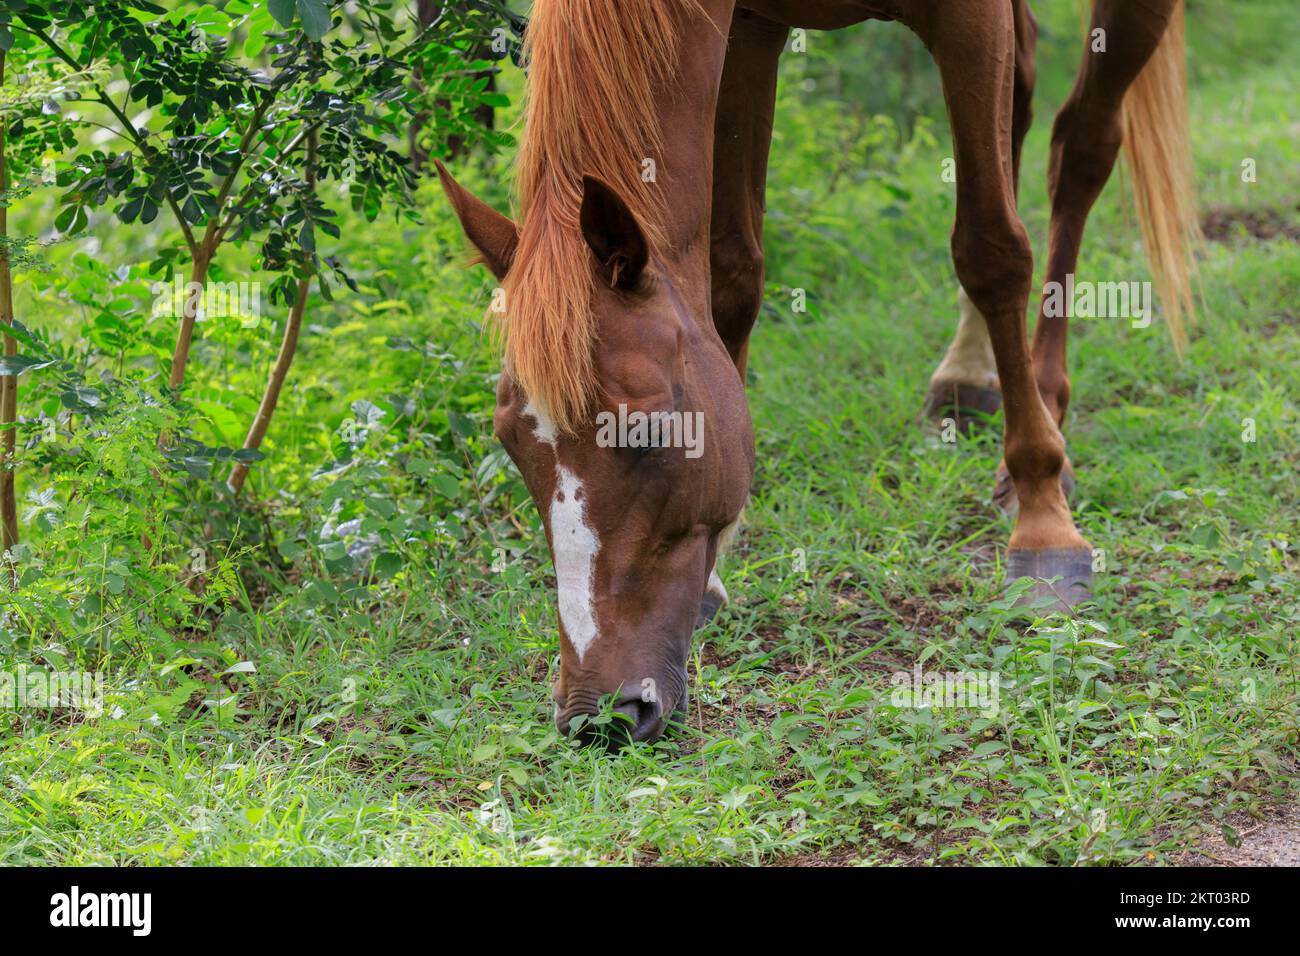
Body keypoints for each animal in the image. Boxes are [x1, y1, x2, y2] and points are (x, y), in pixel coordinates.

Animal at [436, 0, 1198, 747]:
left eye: (649, 430)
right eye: (511, 445)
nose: (599, 712)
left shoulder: (970, 17)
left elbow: (991, 247)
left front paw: (1044, 525)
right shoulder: (750, 28)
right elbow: (731, 270)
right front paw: (719, 567)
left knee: (1082, 144)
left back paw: (1044, 410)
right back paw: (970, 375)